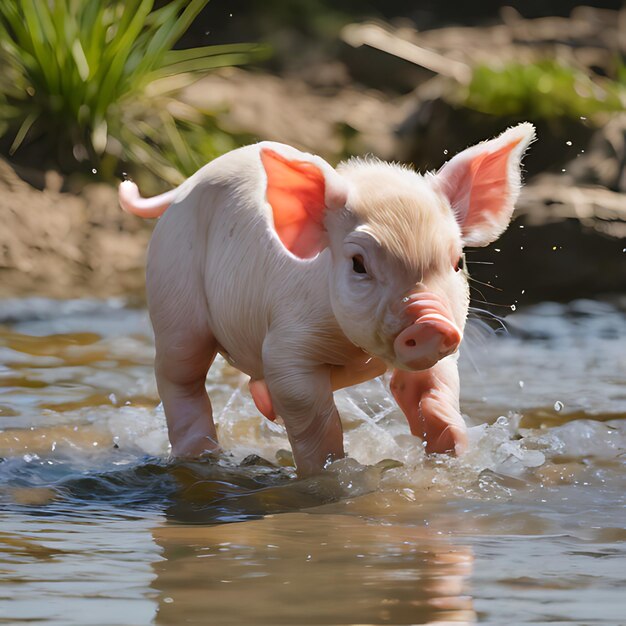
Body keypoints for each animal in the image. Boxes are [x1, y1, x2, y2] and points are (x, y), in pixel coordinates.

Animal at [119, 122, 532, 472]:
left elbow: (432, 393)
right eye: (358, 264)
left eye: (457, 261)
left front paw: (454, 458)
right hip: (173, 295)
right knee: (180, 378)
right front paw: (330, 472)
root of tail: (183, 187)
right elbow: (313, 414)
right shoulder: (286, 344)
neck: (358, 354)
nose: (429, 322)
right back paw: (202, 456)